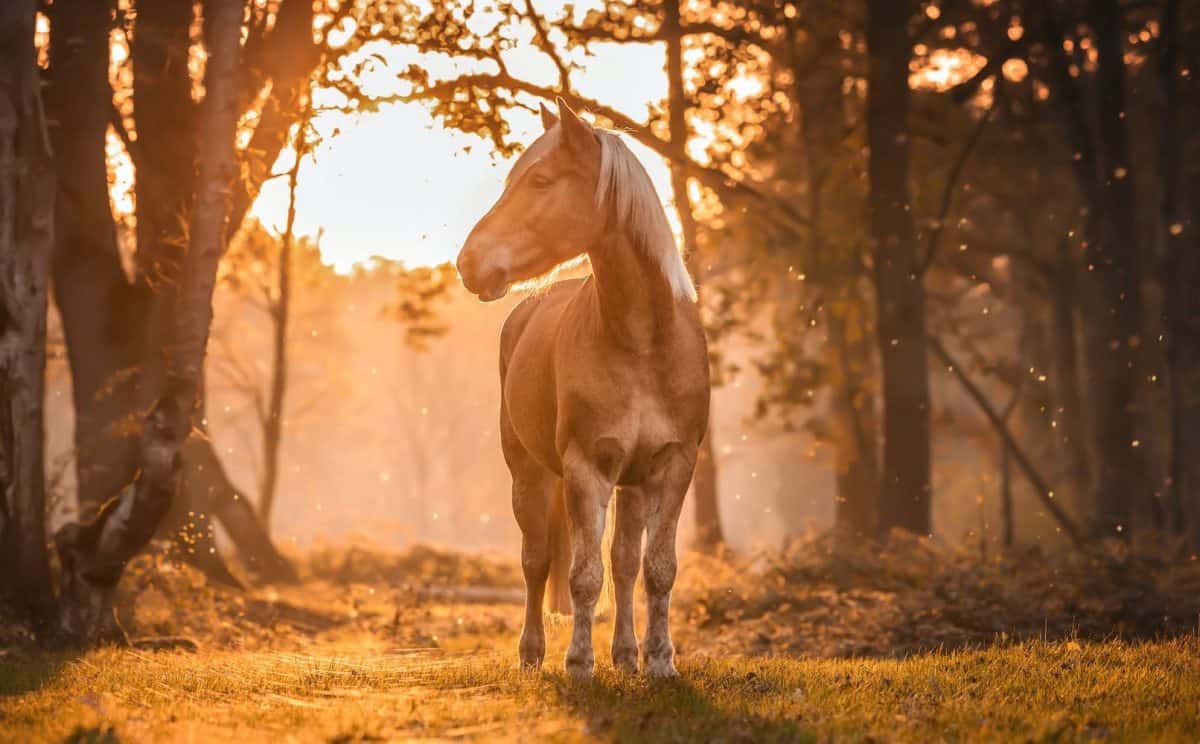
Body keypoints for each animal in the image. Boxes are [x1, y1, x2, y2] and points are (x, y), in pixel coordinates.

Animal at [456, 98, 709, 678]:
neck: (642, 343)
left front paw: (659, 662)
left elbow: (655, 568)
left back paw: (626, 656)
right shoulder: (585, 467)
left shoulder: (673, 465)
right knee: (536, 561)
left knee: (624, 564)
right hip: (528, 475)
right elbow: (582, 574)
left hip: (632, 484)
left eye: (540, 179)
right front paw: (578, 663)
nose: (468, 263)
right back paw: (532, 654)